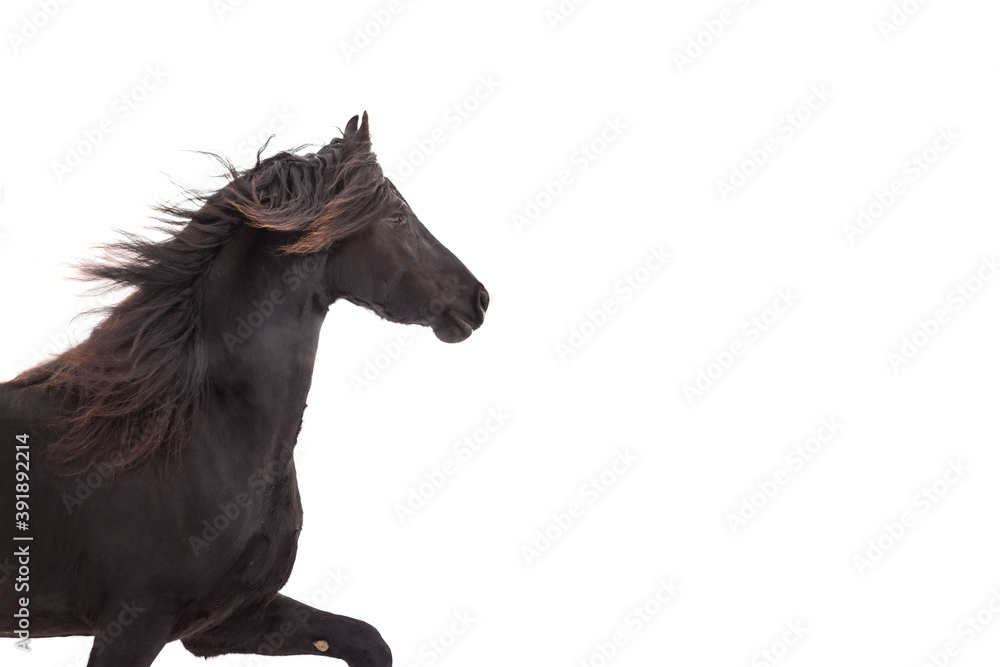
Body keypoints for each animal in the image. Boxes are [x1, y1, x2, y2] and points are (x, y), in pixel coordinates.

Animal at [0, 112, 489, 667]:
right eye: (399, 217)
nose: (478, 299)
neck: (197, 432)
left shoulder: (225, 620)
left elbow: (368, 640)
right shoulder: (133, 622)